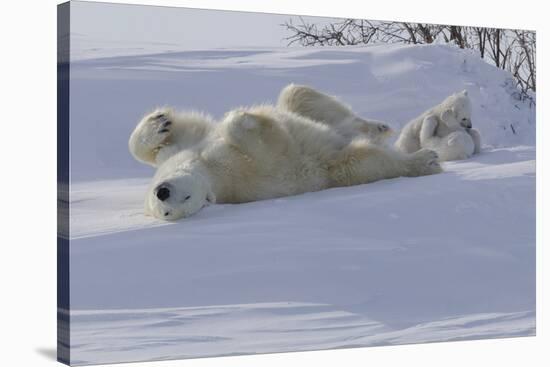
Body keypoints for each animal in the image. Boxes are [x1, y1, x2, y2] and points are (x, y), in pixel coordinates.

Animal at [130, 85, 444, 221]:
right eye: (168, 211)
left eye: (184, 197)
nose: (162, 193)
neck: (209, 171)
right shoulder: (244, 172)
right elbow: (271, 147)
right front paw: (242, 119)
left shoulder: (186, 149)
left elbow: (161, 143)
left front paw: (160, 121)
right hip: (335, 169)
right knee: (362, 160)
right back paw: (424, 160)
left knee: (298, 96)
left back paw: (377, 127)